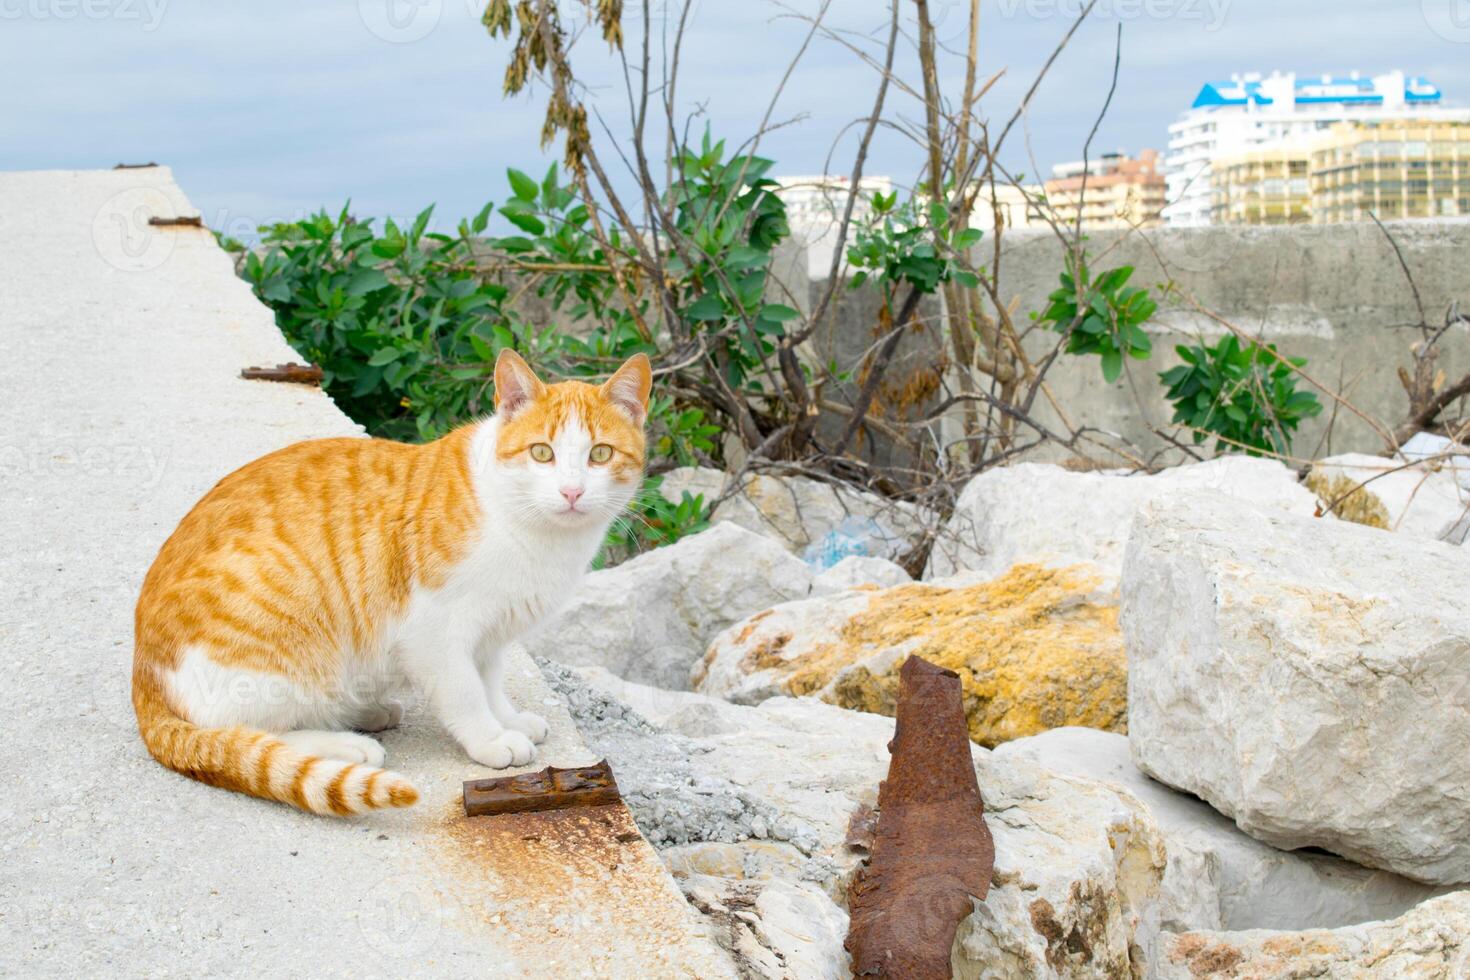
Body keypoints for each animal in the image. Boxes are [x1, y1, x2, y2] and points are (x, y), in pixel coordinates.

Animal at [130, 348, 649, 816]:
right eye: (543, 453)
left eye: (600, 454)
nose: (572, 491)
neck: (535, 532)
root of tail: (145, 680)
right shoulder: (434, 633)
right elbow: (465, 691)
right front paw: (490, 737)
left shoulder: (490, 632)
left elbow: (488, 681)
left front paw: (507, 718)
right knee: (242, 728)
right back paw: (345, 744)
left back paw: (367, 713)